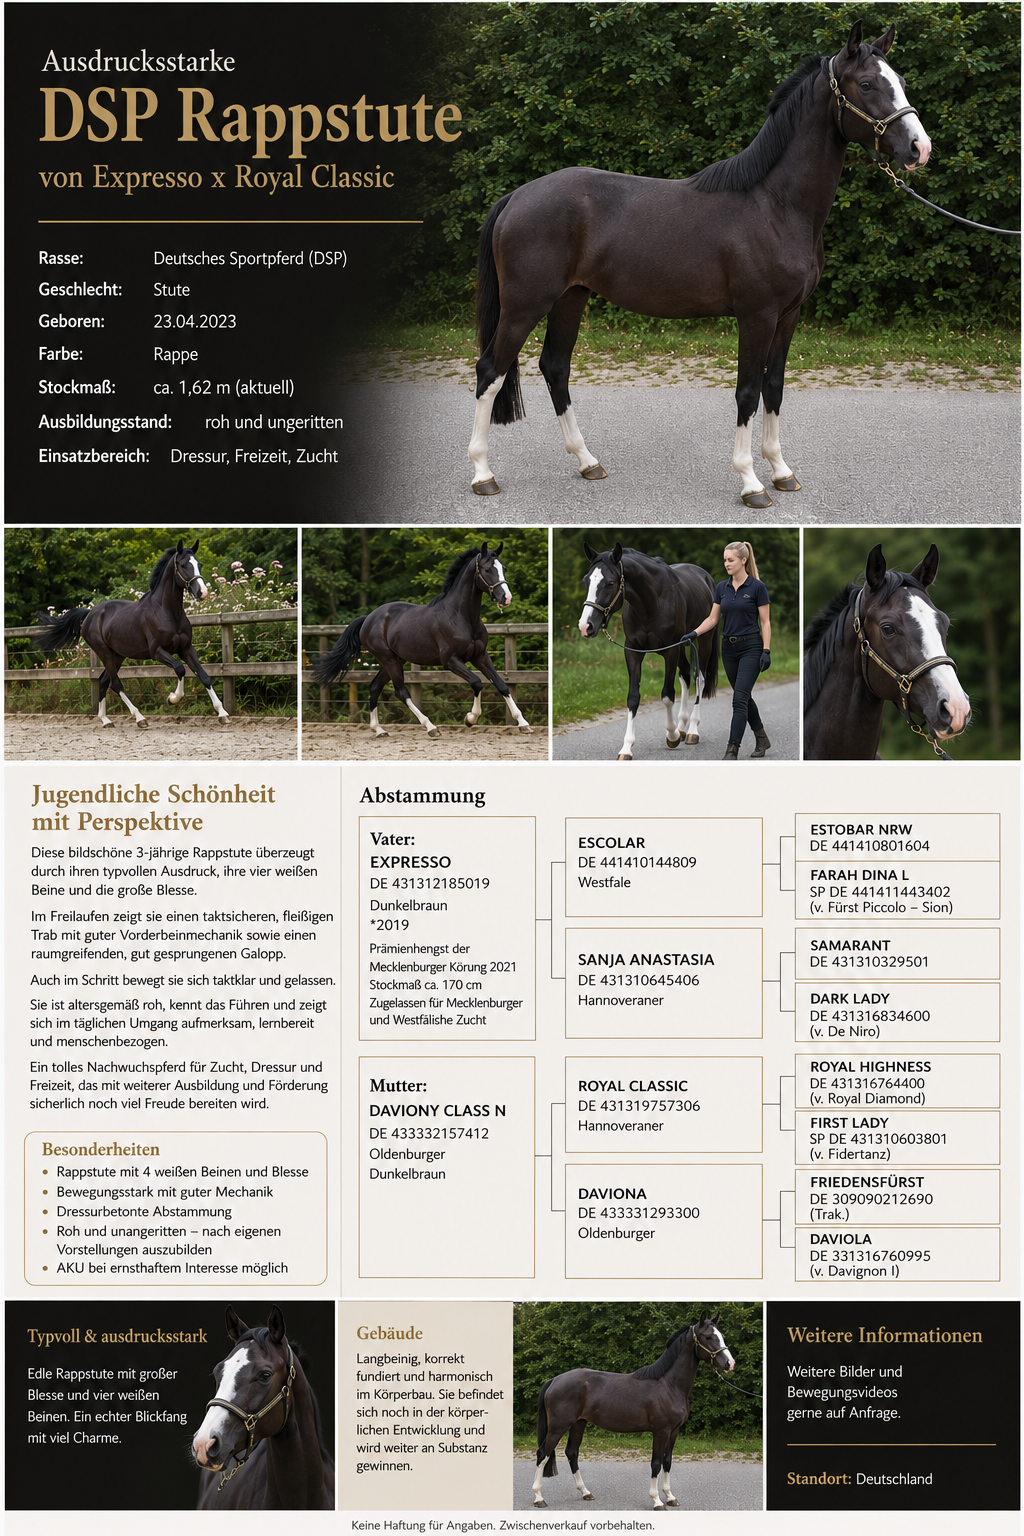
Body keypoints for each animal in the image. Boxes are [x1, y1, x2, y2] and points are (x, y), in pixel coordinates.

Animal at [32, 540, 229, 727]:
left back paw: (106, 721)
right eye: (182, 565)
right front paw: (172, 698)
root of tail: (89, 615)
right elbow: (180, 669)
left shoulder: (186, 649)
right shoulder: (157, 651)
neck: (167, 612)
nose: (202, 593)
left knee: (103, 681)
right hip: (105, 653)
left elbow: (204, 676)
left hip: (118, 655)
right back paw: (140, 718)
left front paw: (223, 715)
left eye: (199, 564)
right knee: (115, 683)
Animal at [311, 543, 533, 736]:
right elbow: (477, 683)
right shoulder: (450, 661)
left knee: (374, 687)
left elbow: (501, 684)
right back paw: (431, 727)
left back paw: (379, 730)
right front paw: (470, 719)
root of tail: (368, 618)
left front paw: (523, 724)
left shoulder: (480, 656)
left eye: (503, 568)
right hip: (388, 660)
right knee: (402, 693)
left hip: (394, 660)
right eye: (487, 569)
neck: (461, 616)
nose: (506, 598)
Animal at [468, 21, 931, 507]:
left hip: (570, 299)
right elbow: (747, 392)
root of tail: (516, 196)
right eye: (867, 84)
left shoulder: (788, 315)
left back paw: (587, 462)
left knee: (555, 368)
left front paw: (781, 470)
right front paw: (750, 482)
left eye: (899, 80)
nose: (919, 148)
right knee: (490, 371)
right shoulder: (756, 315)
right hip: (524, 305)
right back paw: (483, 474)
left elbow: (774, 387)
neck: (776, 205)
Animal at [532, 1313, 737, 1510]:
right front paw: (657, 1501)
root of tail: (554, 1380)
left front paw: (670, 1497)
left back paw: (585, 1492)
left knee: (572, 1453)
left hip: (578, 1424)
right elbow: (656, 1463)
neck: (669, 1385)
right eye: (708, 1337)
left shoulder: (674, 1431)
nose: (730, 1363)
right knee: (543, 1454)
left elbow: (668, 1461)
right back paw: (538, 1498)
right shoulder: (660, 1432)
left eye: (722, 1336)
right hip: (558, 1427)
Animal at [578, 542, 719, 760]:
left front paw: (671, 735)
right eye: (586, 581)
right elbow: (633, 697)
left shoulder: (670, 651)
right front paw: (626, 748)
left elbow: (667, 695)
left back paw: (692, 731)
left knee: (699, 679)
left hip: (703, 642)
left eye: (610, 583)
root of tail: (706, 578)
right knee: (686, 675)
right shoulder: (633, 652)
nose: (586, 626)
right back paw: (682, 727)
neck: (651, 602)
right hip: (684, 647)